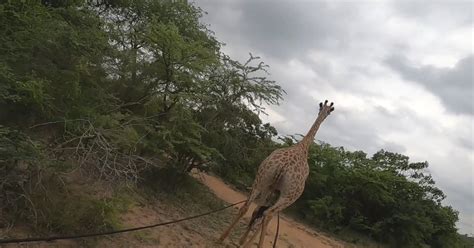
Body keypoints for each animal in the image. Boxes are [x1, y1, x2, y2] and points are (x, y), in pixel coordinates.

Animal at [218, 100, 334, 247]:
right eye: (329, 111)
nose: (324, 114)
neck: (303, 147)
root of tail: (283, 167)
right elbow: (262, 213)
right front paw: (244, 241)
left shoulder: (271, 187)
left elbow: (256, 210)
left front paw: (241, 240)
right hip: (289, 196)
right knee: (268, 214)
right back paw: (254, 244)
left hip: (261, 179)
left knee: (248, 207)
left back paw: (222, 238)